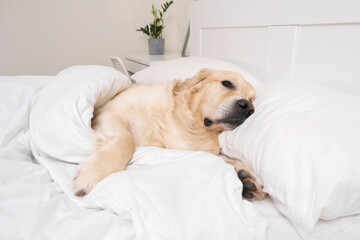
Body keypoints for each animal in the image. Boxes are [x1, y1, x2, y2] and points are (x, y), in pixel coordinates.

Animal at [74, 68, 264, 200]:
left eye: (252, 99)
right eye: (227, 83)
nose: (249, 108)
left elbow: (221, 157)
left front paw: (244, 175)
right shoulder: (107, 112)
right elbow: (127, 140)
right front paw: (95, 171)